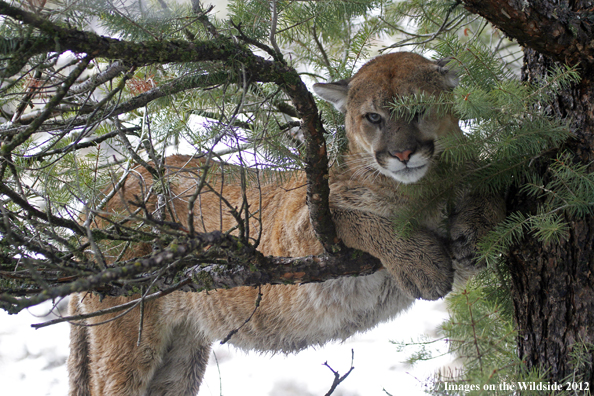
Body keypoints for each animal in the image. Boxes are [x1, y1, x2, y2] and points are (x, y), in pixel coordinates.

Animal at [69, 52, 504, 396]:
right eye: (374, 117)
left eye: (417, 110)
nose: (401, 154)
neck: (423, 188)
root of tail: (104, 195)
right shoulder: (300, 224)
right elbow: (365, 220)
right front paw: (422, 264)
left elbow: (488, 182)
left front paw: (478, 230)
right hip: (127, 334)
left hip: (181, 356)